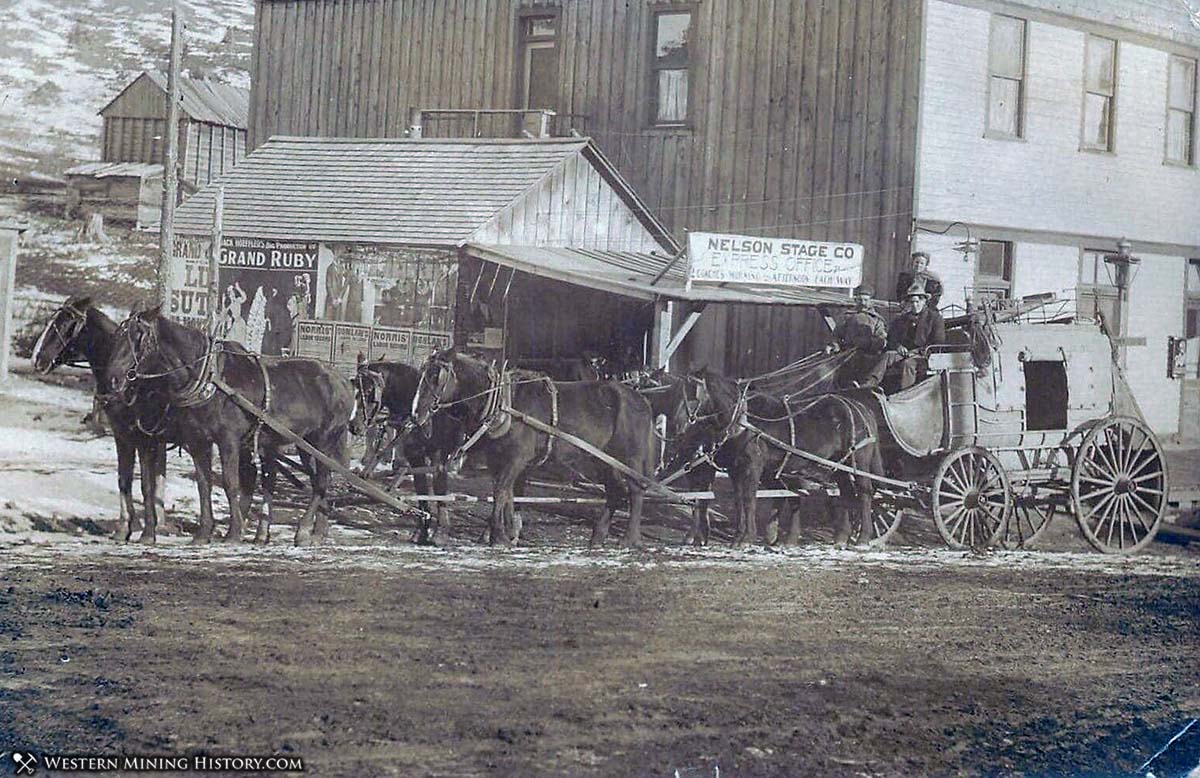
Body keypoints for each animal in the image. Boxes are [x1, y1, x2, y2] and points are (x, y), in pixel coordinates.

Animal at [107, 307, 352, 545]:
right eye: (117, 337)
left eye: (138, 338)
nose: (114, 378)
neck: (210, 380)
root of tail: (341, 379)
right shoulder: (198, 441)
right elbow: (203, 484)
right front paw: (203, 533)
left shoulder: (229, 440)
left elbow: (230, 483)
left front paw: (234, 532)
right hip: (305, 445)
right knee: (318, 481)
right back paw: (317, 532)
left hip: (323, 441)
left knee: (321, 482)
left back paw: (304, 531)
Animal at [412, 350, 657, 547]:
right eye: (422, 374)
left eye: (436, 376)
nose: (416, 414)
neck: (502, 403)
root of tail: (641, 398)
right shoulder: (497, 459)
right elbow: (508, 495)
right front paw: (506, 534)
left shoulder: (516, 458)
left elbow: (501, 492)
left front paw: (498, 536)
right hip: (603, 458)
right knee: (615, 490)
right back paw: (597, 537)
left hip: (629, 457)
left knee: (635, 489)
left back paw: (629, 539)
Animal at [691, 369, 888, 547]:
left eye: (693, 392)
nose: (687, 422)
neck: (743, 418)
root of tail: (861, 408)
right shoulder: (735, 468)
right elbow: (739, 500)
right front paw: (738, 538)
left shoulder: (753, 466)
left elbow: (749, 500)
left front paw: (747, 538)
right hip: (838, 465)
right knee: (846, 492)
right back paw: (841, 538)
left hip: (859, 462)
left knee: (865, 493)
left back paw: (863, 538)